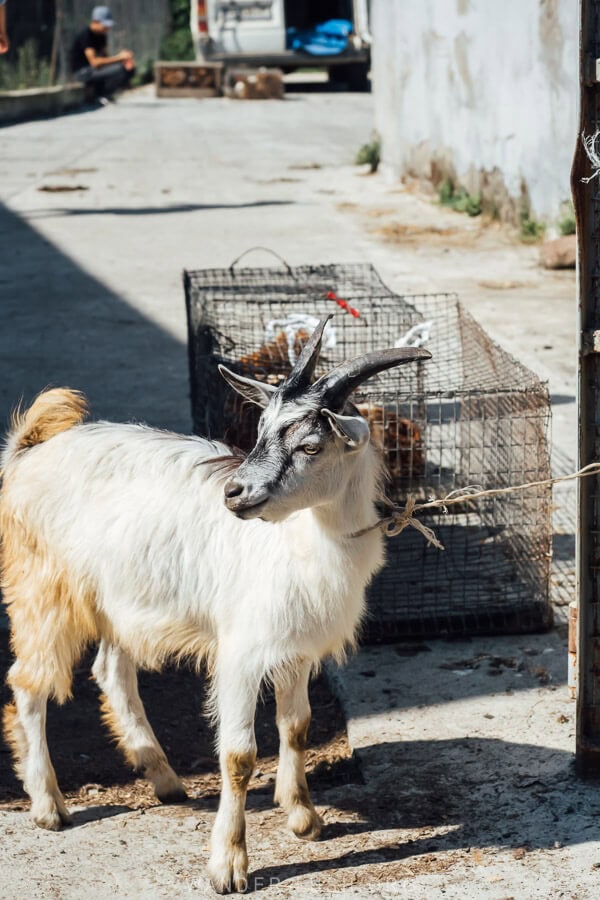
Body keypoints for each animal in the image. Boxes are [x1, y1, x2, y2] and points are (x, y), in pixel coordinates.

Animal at [1, 312, 432, 888]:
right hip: (43, 591)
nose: (235, 493)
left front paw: (303, 817)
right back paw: (49, 806)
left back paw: (164, 778)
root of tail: (27, 452)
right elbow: (239, 756)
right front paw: (228, 865)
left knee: (111, 671)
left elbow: (296, 728)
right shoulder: (242, 652)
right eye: (260, 431)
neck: (298, 542)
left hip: (119, 599)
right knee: (28, 682)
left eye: (311, 446)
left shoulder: (295, 647)